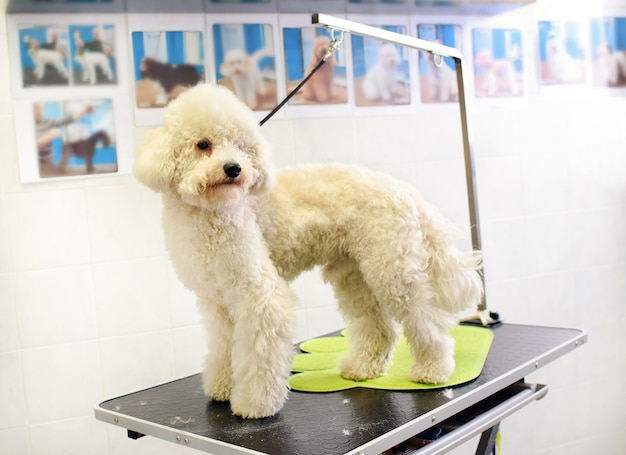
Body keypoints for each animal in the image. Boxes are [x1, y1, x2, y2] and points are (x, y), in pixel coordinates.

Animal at [133, 84, 482, 420]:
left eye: (242, 146)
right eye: (203, 145)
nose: (234, 168)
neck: (209, 214)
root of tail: (406, 192)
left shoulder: (261, 296)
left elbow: (259, 356)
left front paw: (255, 405)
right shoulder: (217, 301)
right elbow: (223, 348)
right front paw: (221, 387)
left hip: (393, 272)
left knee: (428, 321)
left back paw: (433, 370)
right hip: (354, 276)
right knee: (380, 327)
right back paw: (362, 368)